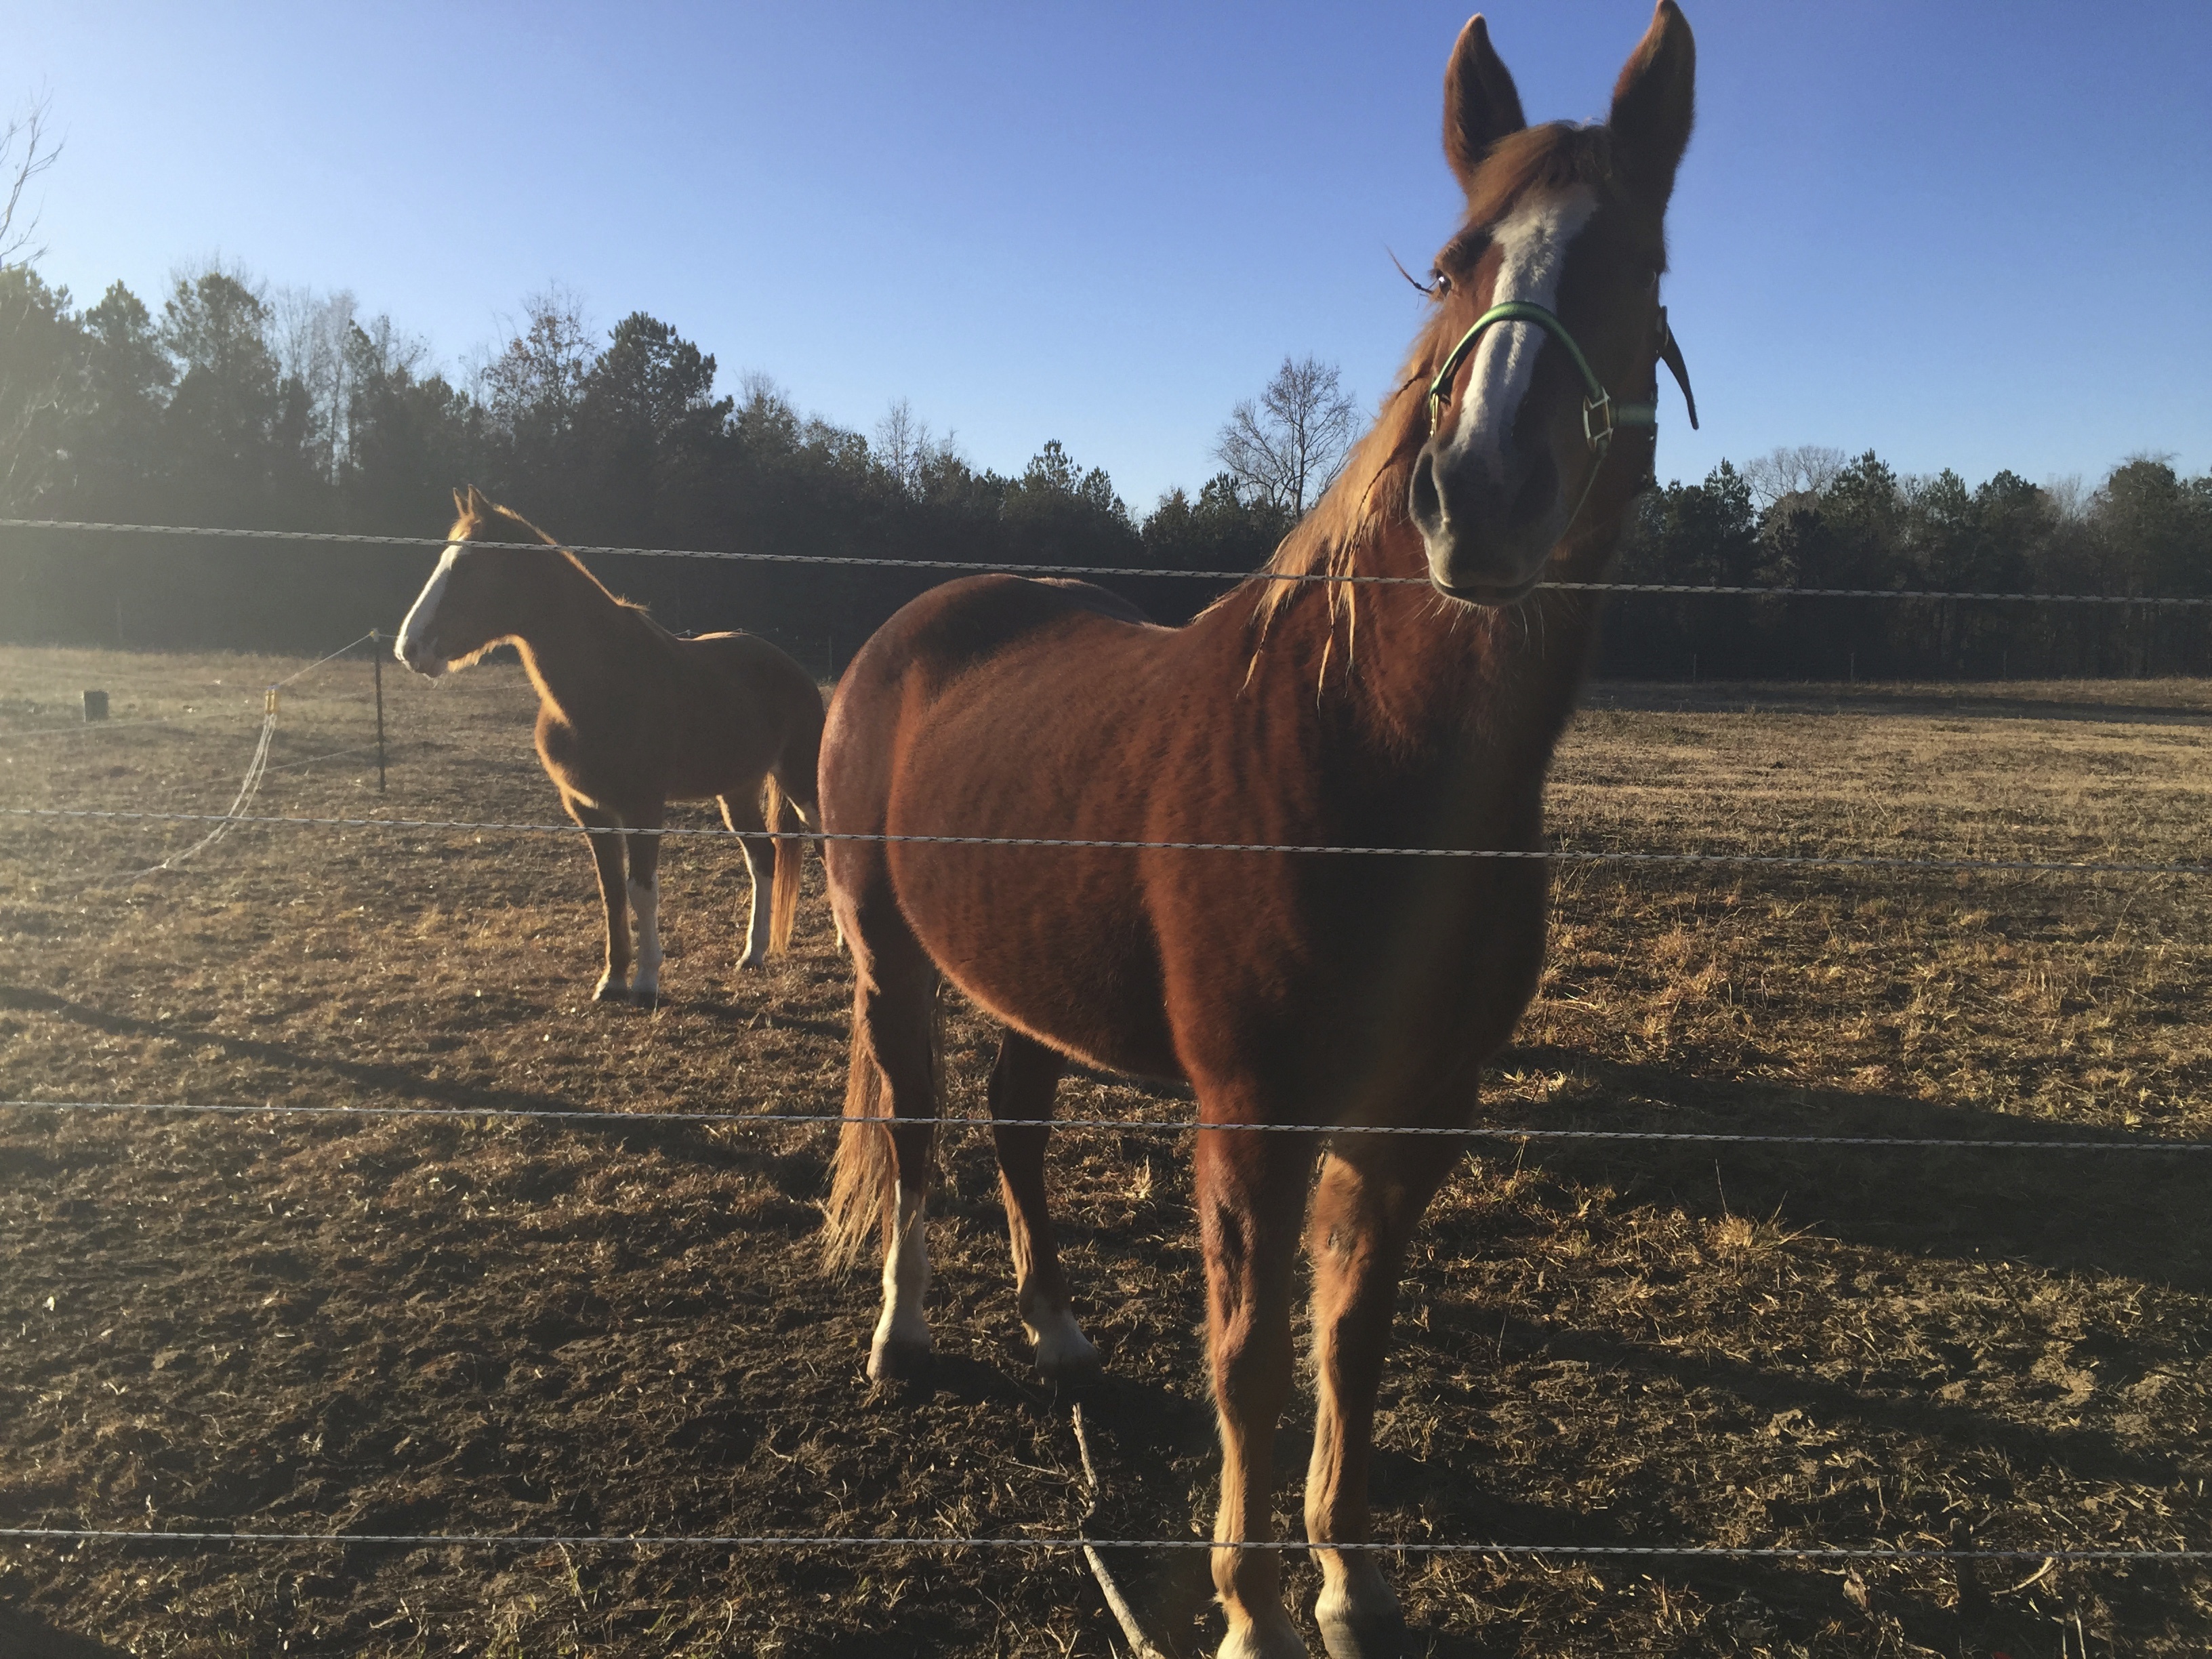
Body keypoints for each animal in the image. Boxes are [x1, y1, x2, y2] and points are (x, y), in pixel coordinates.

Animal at [394, 487, 825, 1003]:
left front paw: (646, 980)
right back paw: (753, 954)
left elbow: (642, 889)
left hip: (803, 782)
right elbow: (612, 891)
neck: (604, 685)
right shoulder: (590, 810)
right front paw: (612, 979)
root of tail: (793, 667)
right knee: (764, 858)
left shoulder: (643, 808)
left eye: (469, 569)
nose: (409, 649)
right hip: (737, 789)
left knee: (829, 846)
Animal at [818, 7, 1697, 1653]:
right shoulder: (1251, 1117)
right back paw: (904, 1335)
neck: (1368, 763)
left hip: (1031, 978)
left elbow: (1348, 1348)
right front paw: (1246, 1610)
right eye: (1454, 261)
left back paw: (1056, 1328)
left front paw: (1347, 1582)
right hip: (887, 955)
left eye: (1637, 264)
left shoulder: (1413, 1120)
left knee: (1013, 1125)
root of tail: (908, 626)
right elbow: (1248, 1366)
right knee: (914, 1131)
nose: (1478, 496)